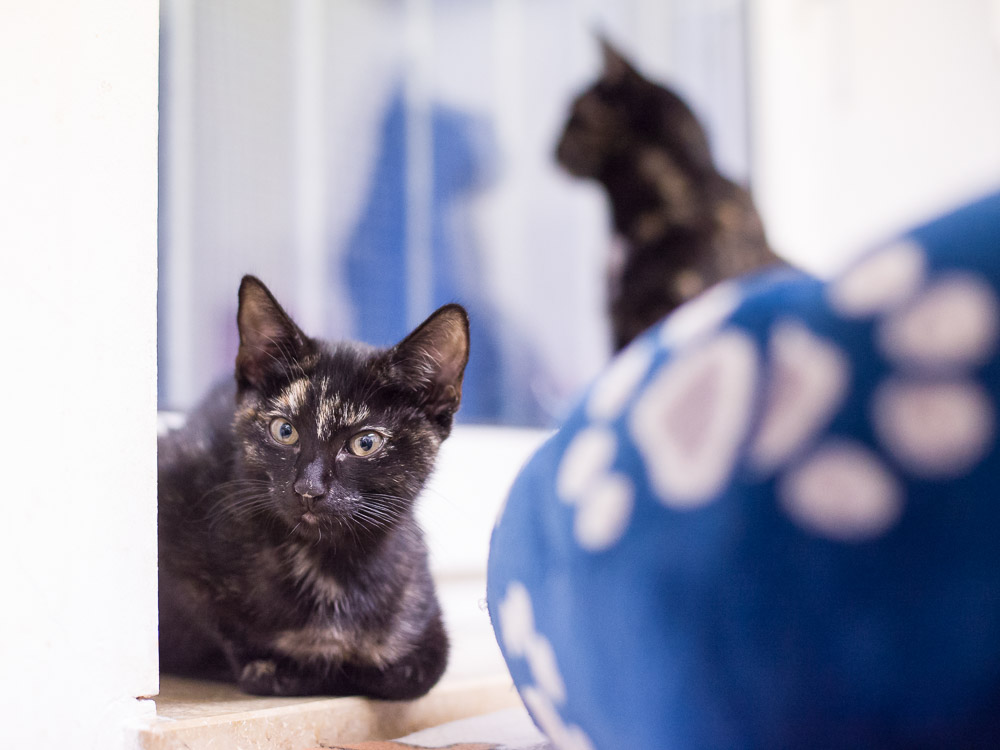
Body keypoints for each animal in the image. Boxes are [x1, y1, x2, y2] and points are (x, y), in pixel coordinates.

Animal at [156, 280, 468, 704]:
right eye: (284, 430)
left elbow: (413, 671)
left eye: (365, 443)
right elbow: (229, 637)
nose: (308, 488)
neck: (328, 566)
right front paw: (295, 663)